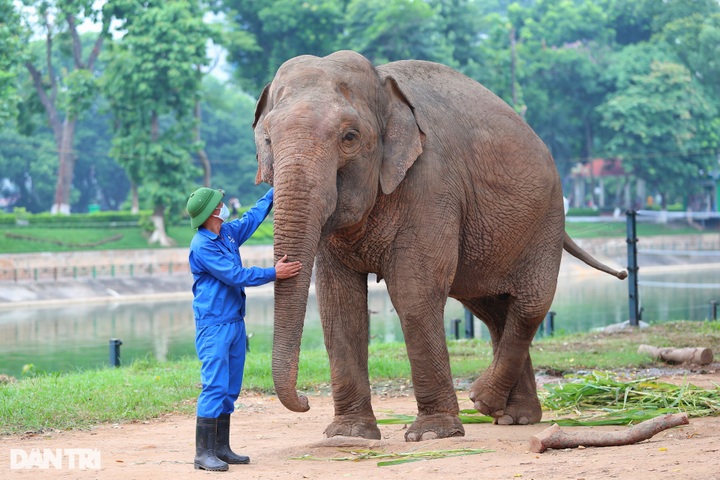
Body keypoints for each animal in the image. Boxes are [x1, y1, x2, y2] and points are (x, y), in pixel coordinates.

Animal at [253, 50, 626, 442]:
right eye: (268, 139)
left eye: (349, 137)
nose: (306, 400)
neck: (382, 84)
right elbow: (339, 302)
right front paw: (349, 434)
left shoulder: (432, 183)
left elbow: (414, 292)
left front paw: (432, 435)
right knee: (493, 310)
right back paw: (513, 416)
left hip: (546, 220)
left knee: (529, 306)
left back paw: (484, 401)